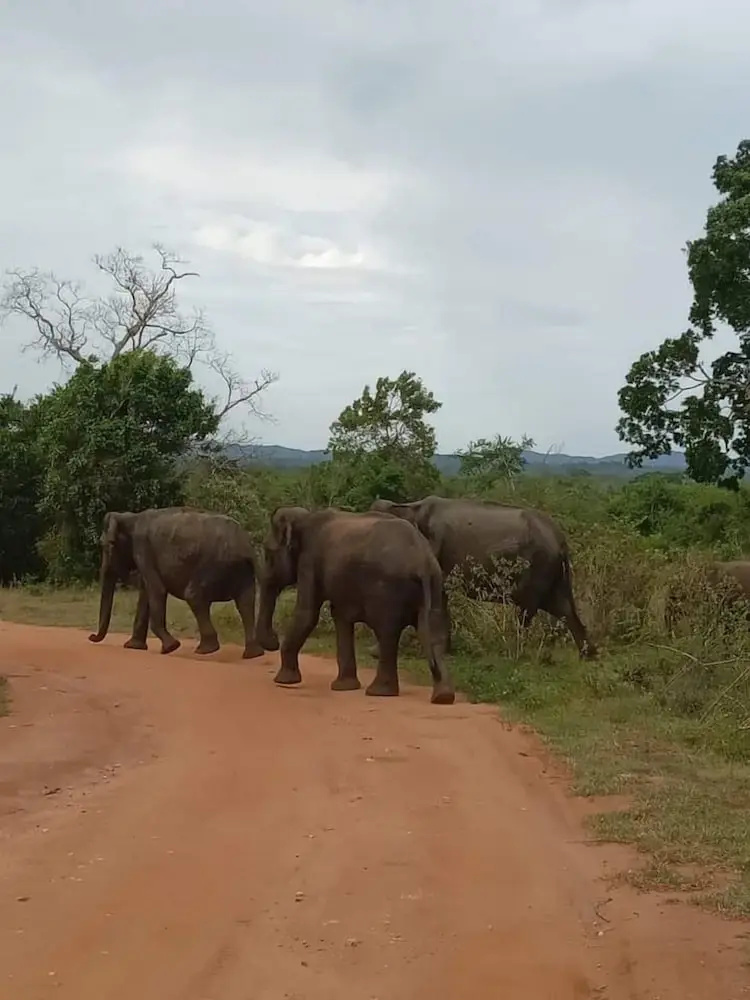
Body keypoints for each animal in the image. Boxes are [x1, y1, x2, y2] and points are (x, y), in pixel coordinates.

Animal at [88, 506, 265, 659]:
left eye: (106, 545)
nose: (91, 636)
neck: (130, 516)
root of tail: (246, 546)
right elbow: (146, 592)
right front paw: (133, 646)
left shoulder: (142, 548)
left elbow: (157, 590)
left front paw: (171, 647)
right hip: (241, 570)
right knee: (245, 603)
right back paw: (253, 654)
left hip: (215, 564)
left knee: (193, 596)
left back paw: (205, 650)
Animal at [255, 505, 455, 704]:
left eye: (268, 552)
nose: (274, 640)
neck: (305, 517)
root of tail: (423, 561)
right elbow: (339, 615)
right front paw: (344, 687)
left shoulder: (309, 561)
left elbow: (307, 613)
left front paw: (283, 681)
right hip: (435, 584)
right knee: (433, 632)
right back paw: (443, 696)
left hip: (387, 591)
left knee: (387, 633)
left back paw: (379, 692)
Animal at [370, 495, 596, 659]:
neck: (409, 507)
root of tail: (561, 541)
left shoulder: (436, 549)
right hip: (554, 573)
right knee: (564, 609)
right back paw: (588, 657)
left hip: (540, 566)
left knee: (528, 610)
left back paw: (514, 653)